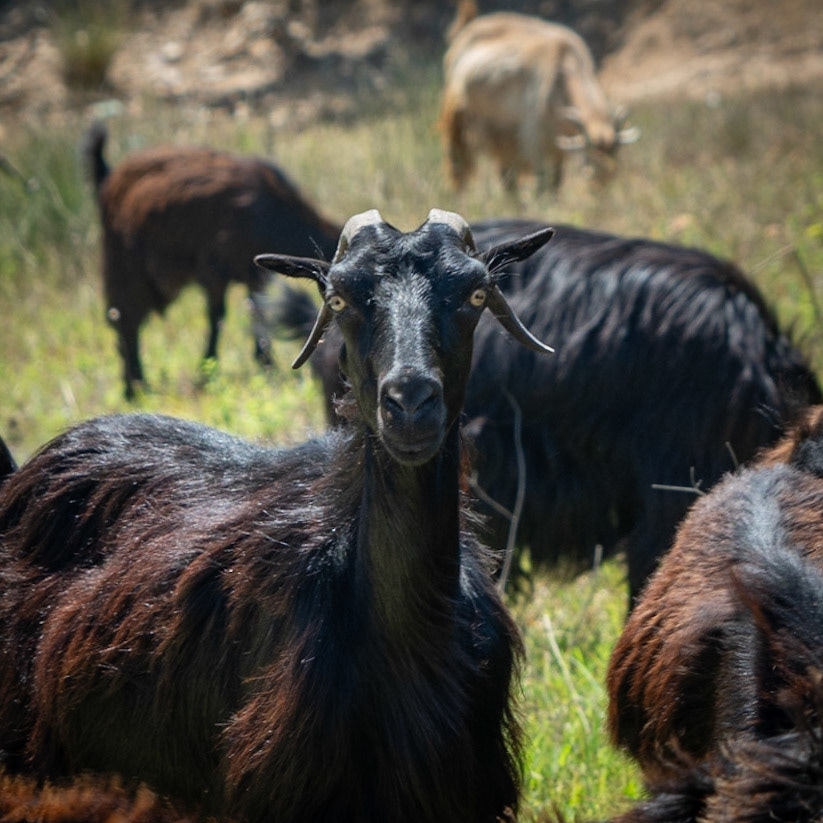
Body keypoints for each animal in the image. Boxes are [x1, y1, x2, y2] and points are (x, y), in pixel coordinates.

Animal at [83, 122, 341, 399]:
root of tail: (109, 176)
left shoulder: (255, 275)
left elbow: (257, 310)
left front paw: (265, 363)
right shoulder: (214, 270)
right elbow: (217, 316)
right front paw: (208, 368)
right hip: (123, 263)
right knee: (124, 318)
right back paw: (134, 386)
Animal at [440, 2, 638, 193]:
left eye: (614, 171)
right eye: (588, 167)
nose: (599, 191)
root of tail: (468, 28)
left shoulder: (557, 151)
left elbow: (556, 183)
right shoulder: (534, 143)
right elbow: (541, 184)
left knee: (507, 181)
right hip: (459, 124)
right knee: (459, 167)